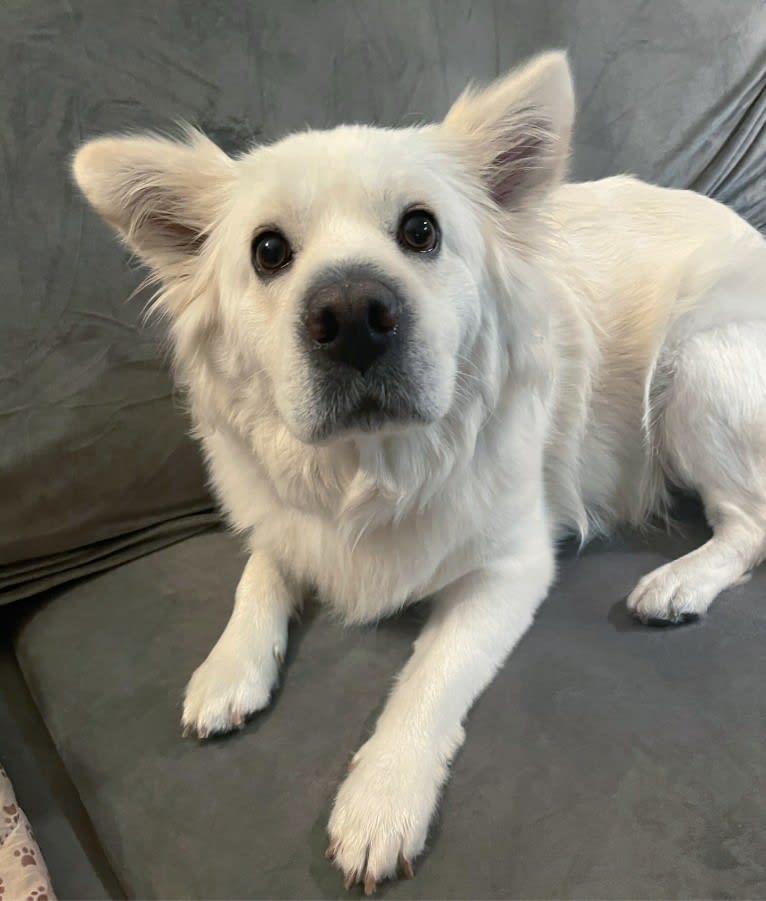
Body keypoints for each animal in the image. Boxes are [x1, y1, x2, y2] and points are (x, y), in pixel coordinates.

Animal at [73, 52, 766, 888]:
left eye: (420, 230)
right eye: (268, 251)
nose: (352, 314)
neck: (373, 466)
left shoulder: (510, 567)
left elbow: (426, 678)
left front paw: (382, 797)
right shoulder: (285, 515)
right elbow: (263, 567)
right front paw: (229, 666)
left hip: (693, 369)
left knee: (751, 523)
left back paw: (677, 582)